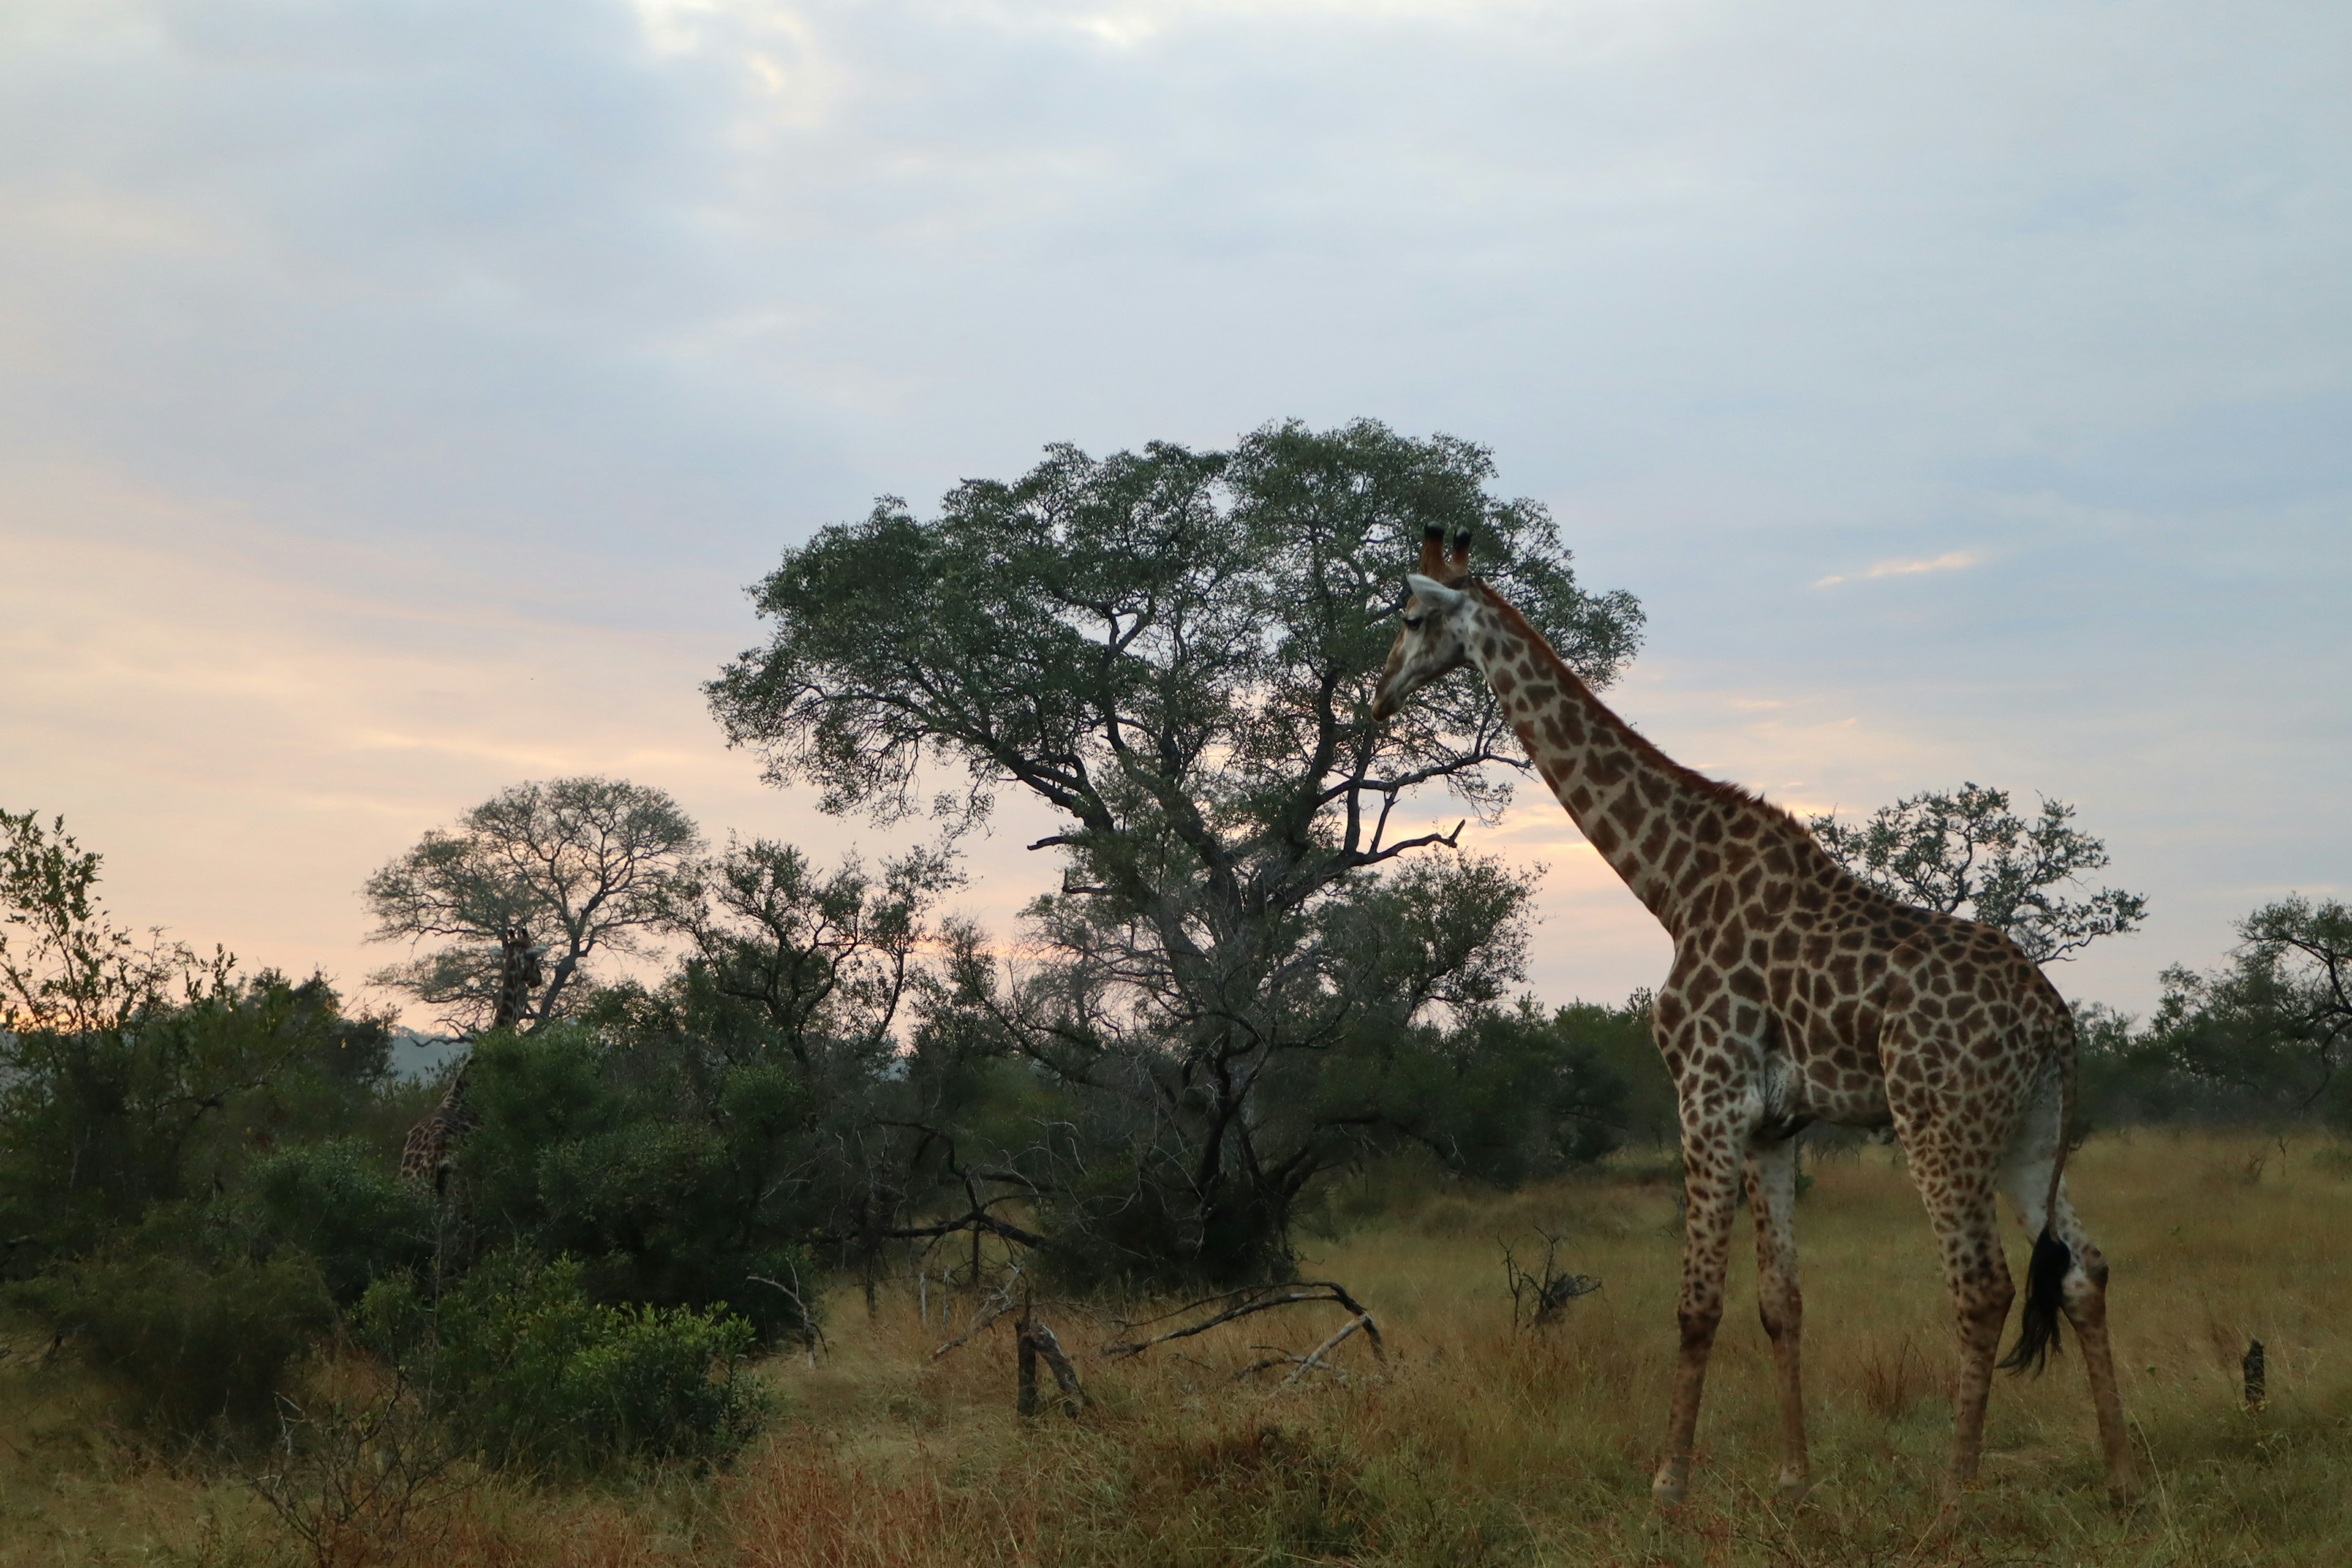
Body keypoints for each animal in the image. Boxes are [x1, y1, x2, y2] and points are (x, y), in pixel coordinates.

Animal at [1373, 531, 2145, 1504]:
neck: (1671, 882)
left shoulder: (1707, 1094)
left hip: (1941, 1121)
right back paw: (2121, 1480)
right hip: (2032, 1130)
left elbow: (1696, 1304)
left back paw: (1954, 1495)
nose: (1378, 692)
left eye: (1409, 617)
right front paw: (1794, 1479)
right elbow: (1782, 1304)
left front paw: (1669, 1481)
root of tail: (2055, 1022)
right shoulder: (1777, 1123)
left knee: (1985, 1288)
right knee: (2086, 1270)